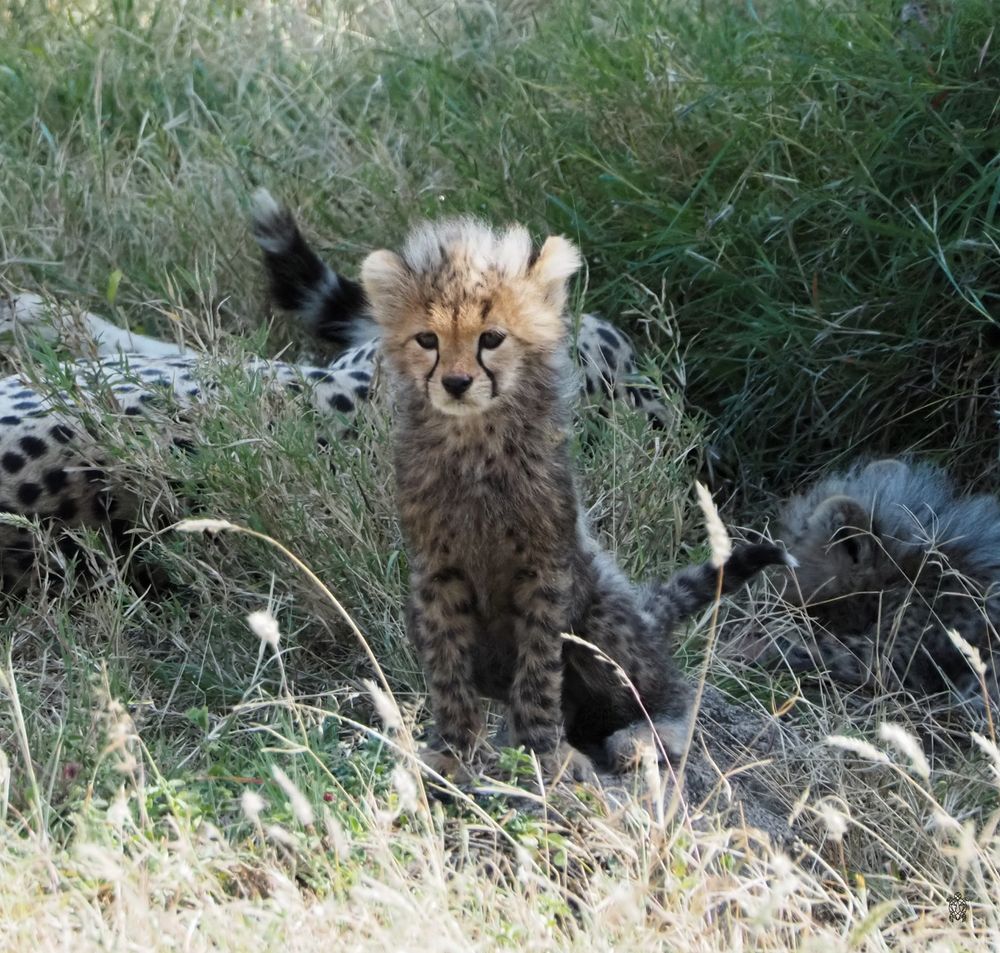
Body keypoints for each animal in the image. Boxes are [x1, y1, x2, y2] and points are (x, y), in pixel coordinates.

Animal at [355, 214, 787, 779]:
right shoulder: (435, 570)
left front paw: (543, 752)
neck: (475, 441)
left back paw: (646, 737)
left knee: (670, 691)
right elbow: (448, 667)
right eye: (427, 339)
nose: (455, 382)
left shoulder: (546, 567)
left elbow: (539, 669)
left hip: (603, 613)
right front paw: (452, 749)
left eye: (491, 338)